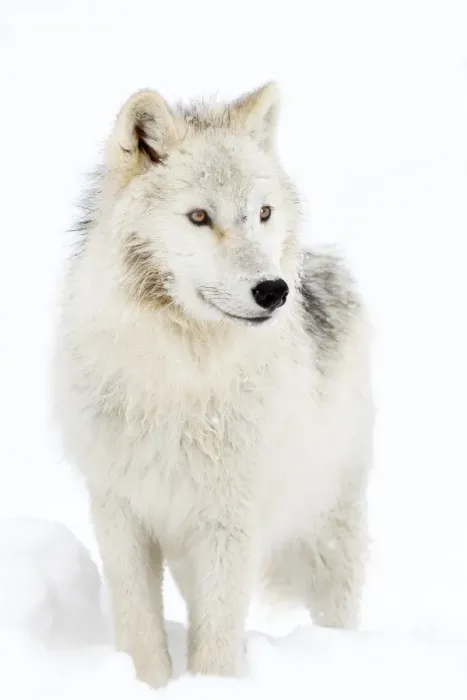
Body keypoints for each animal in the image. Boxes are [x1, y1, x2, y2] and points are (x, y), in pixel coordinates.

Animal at [54, 82, 373, 688]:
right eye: (200, 217)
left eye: (263, 213)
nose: (274, 290)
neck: (182, 375)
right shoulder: (119, 511)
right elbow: (140, 625)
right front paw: (149, 684)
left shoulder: (231, 522)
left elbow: (219, 643)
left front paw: (213, 685)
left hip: (326, 528)